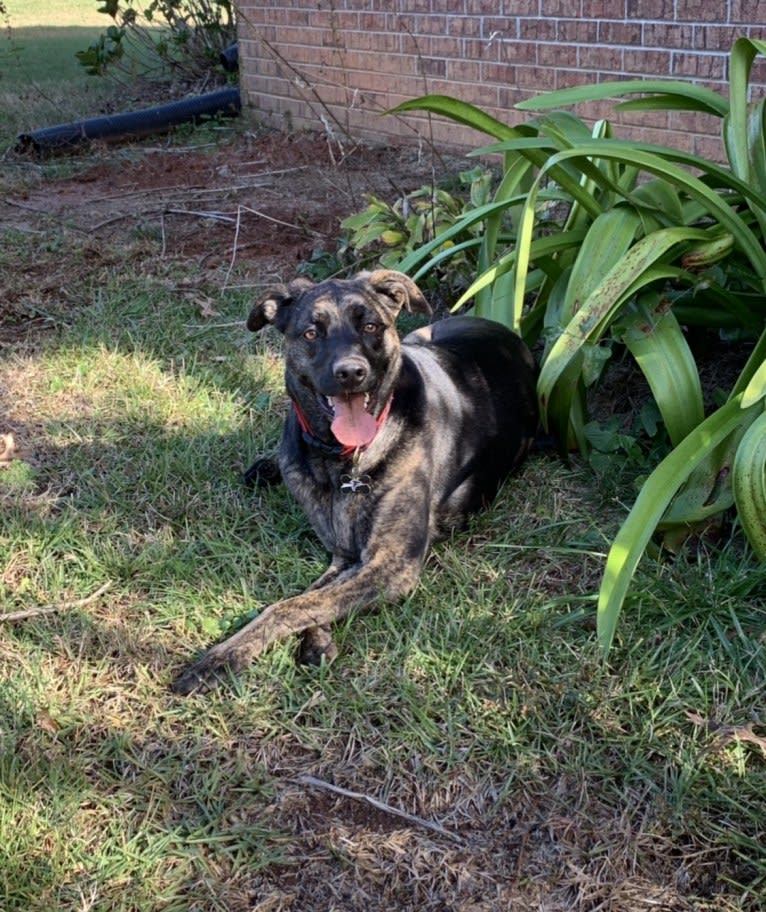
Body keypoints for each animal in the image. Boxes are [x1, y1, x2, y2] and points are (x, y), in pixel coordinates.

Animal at [172, 268, 540, 696]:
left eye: (370, 326)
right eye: (311, 333)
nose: (350, 373)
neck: (343, 458)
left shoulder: (390, 564)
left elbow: (294, 604)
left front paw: (221, 658)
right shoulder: (345, 554)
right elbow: (309, 598)